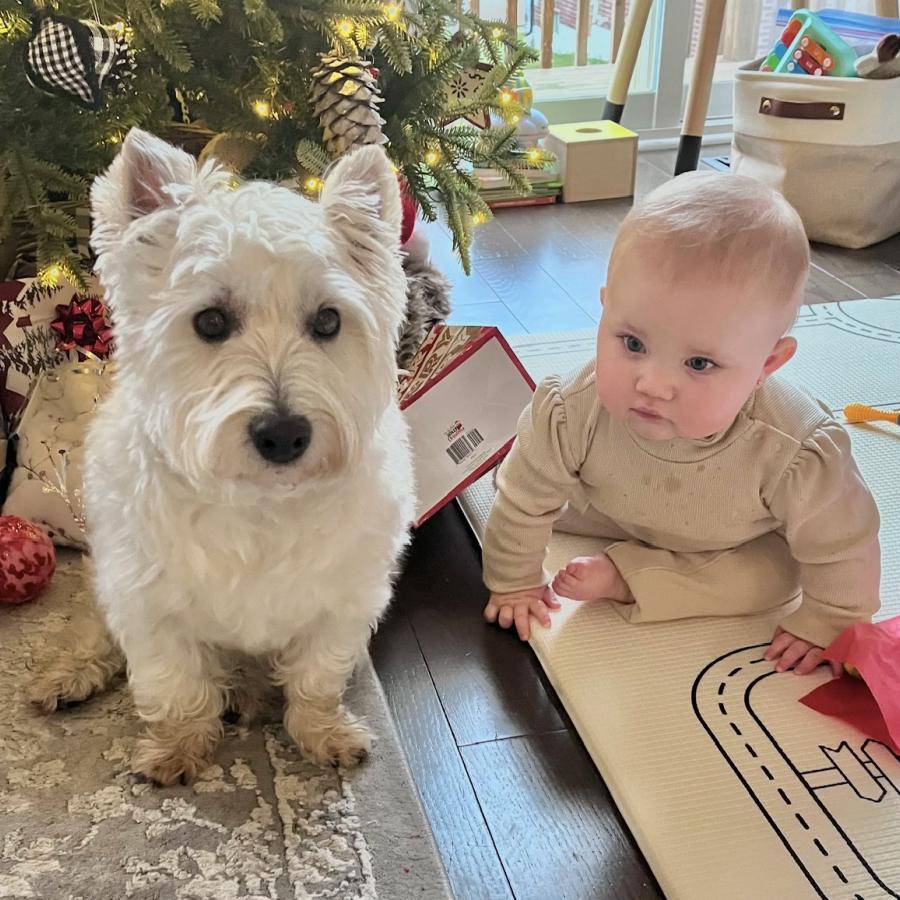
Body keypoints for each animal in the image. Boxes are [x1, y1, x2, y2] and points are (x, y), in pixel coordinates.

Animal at [29, 130, 416, 784]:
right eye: (210, 321)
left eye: (328, 320)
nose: (283, 434)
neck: (257, 498)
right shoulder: (148, 601)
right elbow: (176, 682)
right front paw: (180, 747)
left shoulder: (343, 599)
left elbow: (316, 677)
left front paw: (324, 734)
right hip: (104, 579)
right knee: (90, 627)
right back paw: (67, 678)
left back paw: (249, 692)